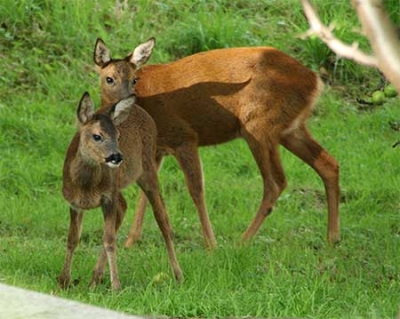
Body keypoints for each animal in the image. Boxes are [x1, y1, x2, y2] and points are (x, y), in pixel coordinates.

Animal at [57, 91, 183, 292]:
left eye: (118, 135)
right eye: (97, 136)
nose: (116, 157)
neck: (85, 187)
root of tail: (141, 110)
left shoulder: (108, 197)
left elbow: (109, 240)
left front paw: (116, 286)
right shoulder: (74, 202)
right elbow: (72, 239)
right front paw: (64, 281)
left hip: (147, 169)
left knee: (163, 220)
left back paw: (178, 276)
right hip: (120, 185)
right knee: (123, 206)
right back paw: (95, 278)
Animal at [94, 38, 340, 251]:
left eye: (134, 79)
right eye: (109, 78)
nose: (127, 100)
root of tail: (315, 81)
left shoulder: (184, 137)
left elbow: (196, 189)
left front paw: (211, 245)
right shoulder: (157, 149)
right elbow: (147, 191)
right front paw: (130, 242)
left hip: (259, 125)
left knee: (275, 182)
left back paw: (242, 242)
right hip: (290, 129)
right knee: (329, 164)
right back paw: (332, 238)